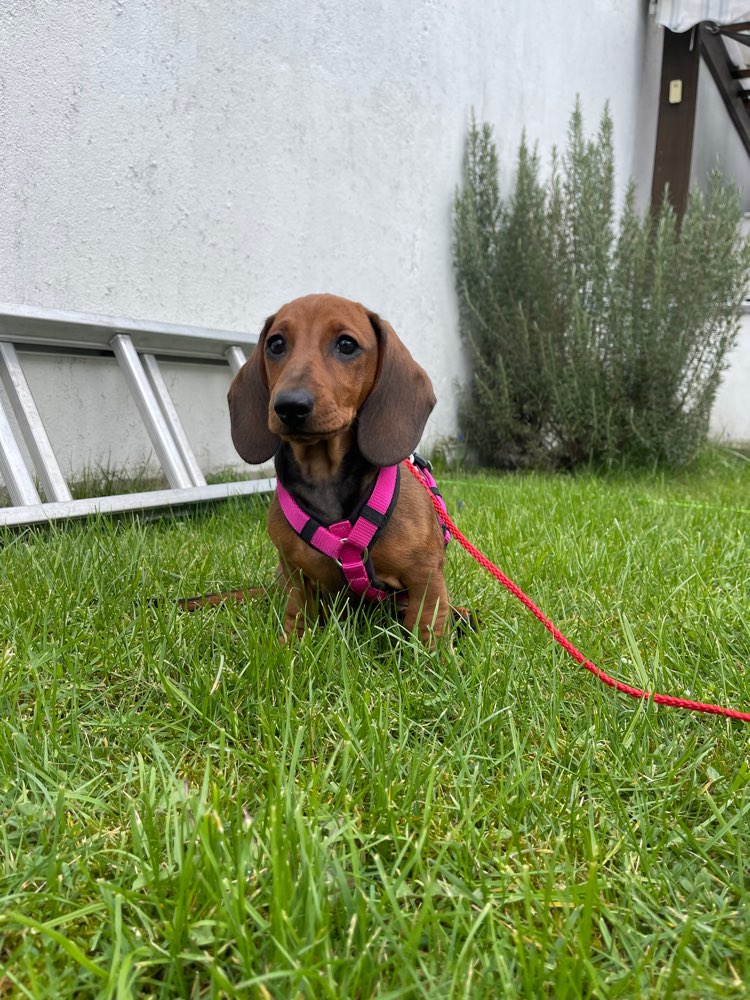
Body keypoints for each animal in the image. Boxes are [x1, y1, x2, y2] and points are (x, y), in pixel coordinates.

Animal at [229, 292, 452, 644]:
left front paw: (432, 655)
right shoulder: (294, 573)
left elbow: (428, 625)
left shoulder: (425, 577)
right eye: (276, 344)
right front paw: (289, 646)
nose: (290, 406)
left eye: (347, 344)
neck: (324, 476)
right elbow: (296, 615)